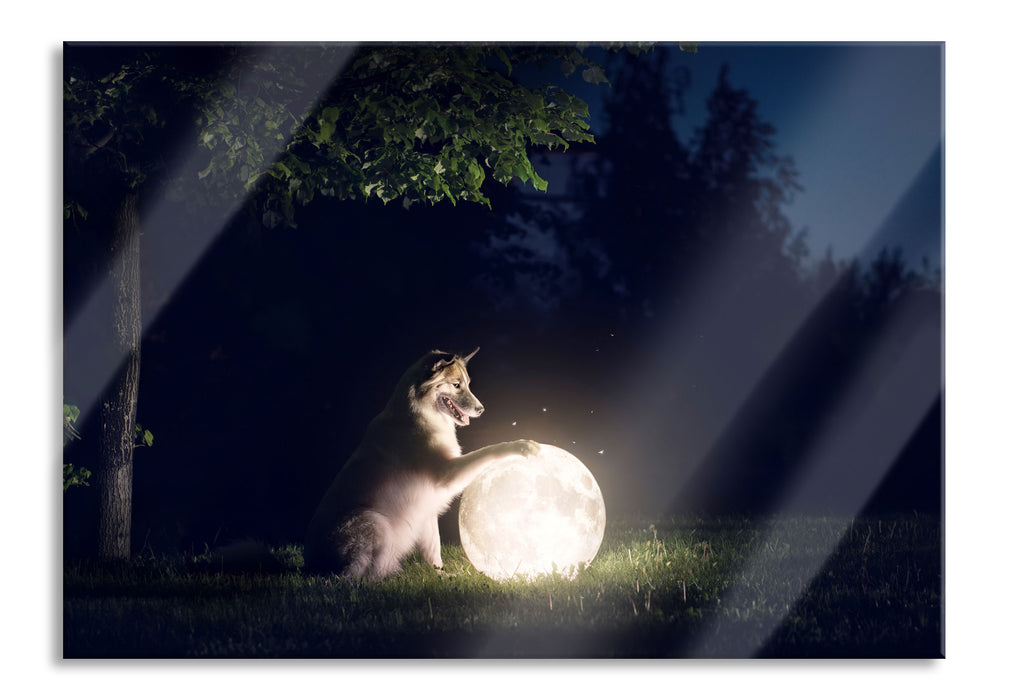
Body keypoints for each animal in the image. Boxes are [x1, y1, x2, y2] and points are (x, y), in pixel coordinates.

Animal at [302, 346, 540, 580]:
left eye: (467, 384)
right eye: (456, 385)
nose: (481, 410)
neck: (418, 414)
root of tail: (309, 567)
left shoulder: (426, 509)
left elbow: (433, 550)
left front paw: (441, 574)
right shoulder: (448, 473)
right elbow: (486, 451)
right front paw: (520, 446)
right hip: (374, 522)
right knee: (357, 578)